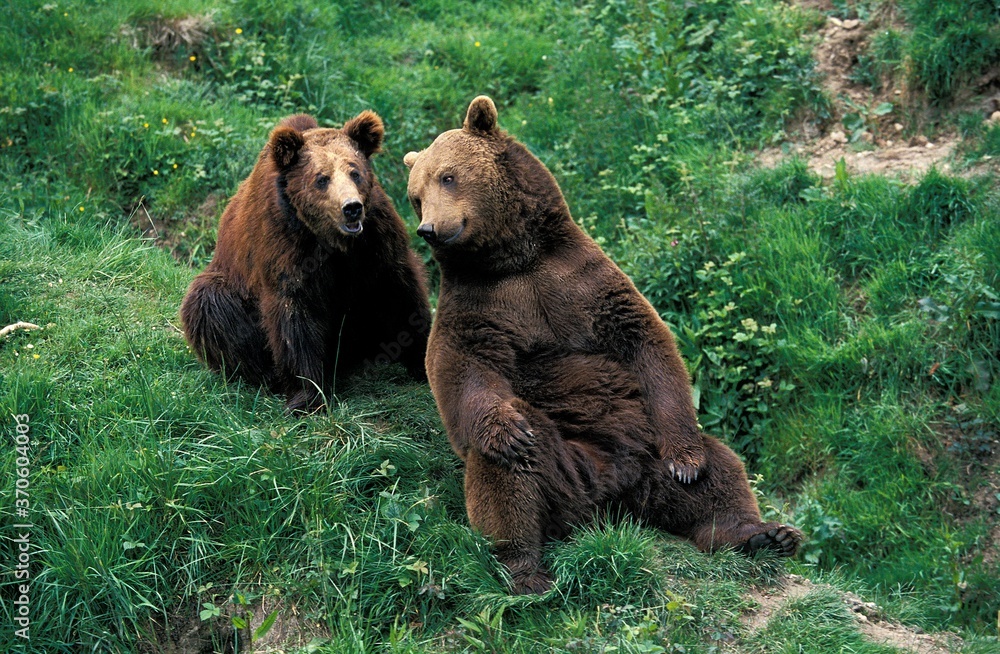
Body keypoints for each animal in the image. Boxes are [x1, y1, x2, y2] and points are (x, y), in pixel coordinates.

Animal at [181, 111, 431, 412]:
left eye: (355, 172)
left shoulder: (375, 240)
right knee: (209, 304)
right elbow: (294, 315)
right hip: (228, 283)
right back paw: (266, 376)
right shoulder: (285, 245)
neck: (333, 242)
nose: (351, 208)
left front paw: (423, 362)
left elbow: (399, 293)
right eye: (322, 178)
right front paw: (308, 395)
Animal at [404, 96, 803, 594]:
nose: (429, 229)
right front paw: (505, 429)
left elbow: (646, 342)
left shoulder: (580, 282)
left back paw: (762, 533)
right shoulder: (480, 306)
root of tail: (619, 502)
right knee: (512, 472)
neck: (514, 259)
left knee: (721, 470)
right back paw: (524, 569)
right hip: (570, 471)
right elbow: (463, 370)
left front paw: (687, 462)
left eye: (448, 176)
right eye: (415, 195)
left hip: (648, 447)